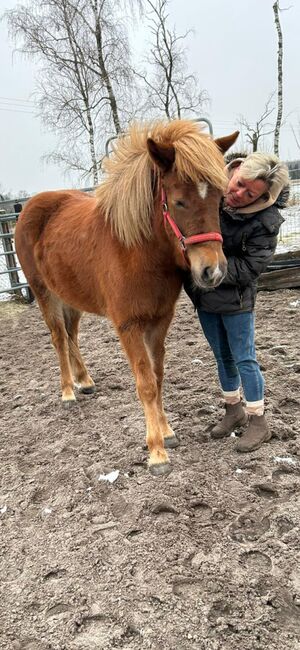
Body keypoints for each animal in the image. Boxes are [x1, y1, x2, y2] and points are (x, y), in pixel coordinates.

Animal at [15, 119, 238, 474]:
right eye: (179, 201)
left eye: (219, 199)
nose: (212, 271)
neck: (137, 250)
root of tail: (29, 208)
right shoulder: (129, 326)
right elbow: (145, 383)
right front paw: (157, 453)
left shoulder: (159, 322)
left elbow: (157, 377)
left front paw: (167, 432)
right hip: (43, 292)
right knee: (59, 338)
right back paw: (68, 391)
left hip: (71, 297)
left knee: (72, 334)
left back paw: (85, 380)